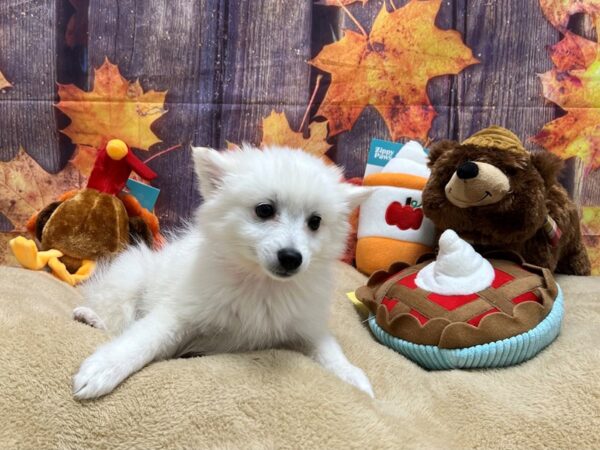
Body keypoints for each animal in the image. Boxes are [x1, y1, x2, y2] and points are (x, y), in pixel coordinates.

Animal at [72, 146, 372, 400]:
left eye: (315, 222)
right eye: (265, 210)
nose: (291, 258)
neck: (262, 283)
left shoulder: (306, 325)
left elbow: (329, 349)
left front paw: (355, 377)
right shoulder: (181, 312)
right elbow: (142, 339)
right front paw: (104, 368)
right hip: (130, 275)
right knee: (117, 318)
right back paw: (90, 318)